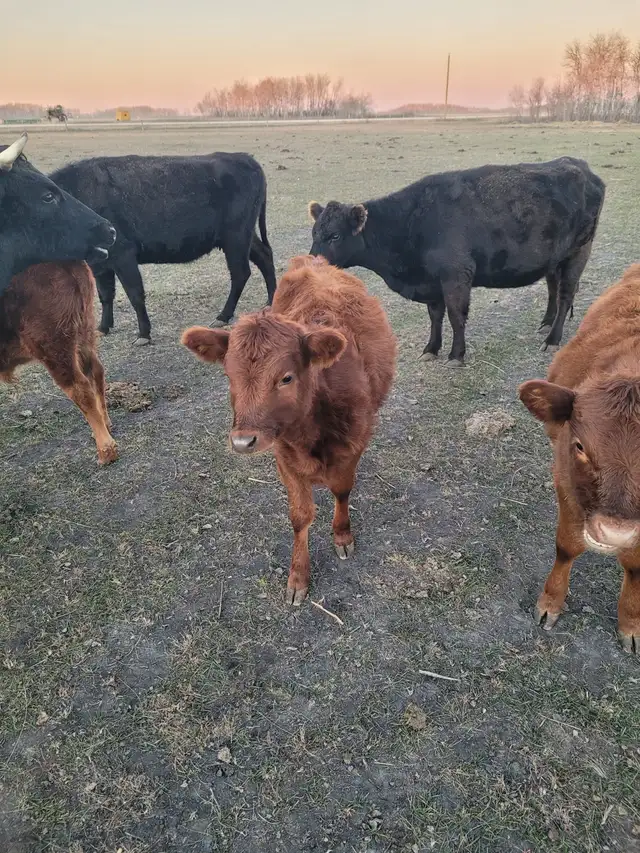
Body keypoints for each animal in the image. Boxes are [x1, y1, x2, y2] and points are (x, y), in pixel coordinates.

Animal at [1, 262, 118, 466]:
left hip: (54, 347)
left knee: (80, 387)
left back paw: (106, 451)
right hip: (84, 331)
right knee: (96, 372)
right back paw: (105, 425)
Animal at [51, 152, 277, 346]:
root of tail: (245, 158)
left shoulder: (124, 255)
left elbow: (135, 294)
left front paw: (143, 334)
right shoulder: (100, 263)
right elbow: (105, 294)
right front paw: (103, 327)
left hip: (236, 237)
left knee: (240, 273)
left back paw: (223, 316)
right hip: (244, 236)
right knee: (264, 256)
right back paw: (271, 301)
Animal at [181, 254, 397, 605]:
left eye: (286, 377)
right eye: (228, 376)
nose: (242, 441)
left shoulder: (353, 444)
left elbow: (342, 490)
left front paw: (342, 535)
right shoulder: (284, 456)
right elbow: (300, 516)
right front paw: (298, 576)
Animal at [309, 157, 605, 366]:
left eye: (335, 235)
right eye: (314, 233)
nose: (311, 263)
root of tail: (580, 166)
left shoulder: (456, 275)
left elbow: (455, 316)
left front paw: (456, 355)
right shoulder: (431, 283)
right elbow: (435, 316)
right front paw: (431, 349)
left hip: (578, 252)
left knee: (566, 294)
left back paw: (553, 339)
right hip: (554, 259)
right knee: (553, 288)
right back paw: (545, 322)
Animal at [519, 263, 640, 654]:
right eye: (580, 446)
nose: (615, 531)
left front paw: (631, 624)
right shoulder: (564, 478)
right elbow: (566, 545)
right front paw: (550, 603)